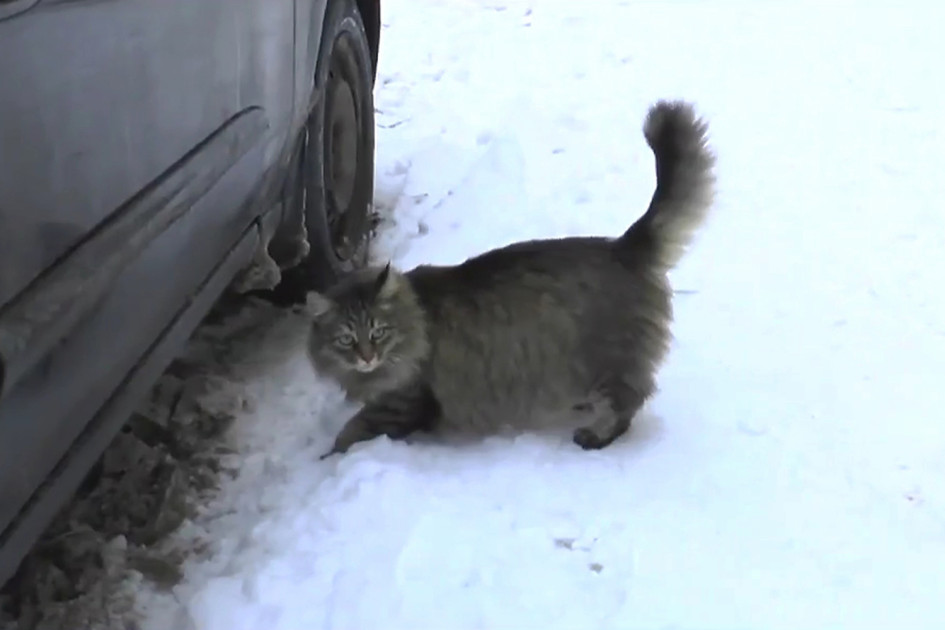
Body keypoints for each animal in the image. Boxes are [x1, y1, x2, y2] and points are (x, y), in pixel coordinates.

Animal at [304, 101, 716, 462]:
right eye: (346, 339)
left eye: (378, 332)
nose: (366, 357)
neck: (415, 319)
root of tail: (622, 246)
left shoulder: (403, 402)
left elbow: (352, 432)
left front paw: (327, 458)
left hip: (609, 361)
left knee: (629, 400)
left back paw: (594, 434)